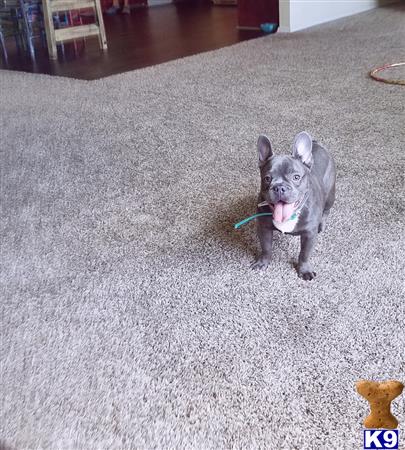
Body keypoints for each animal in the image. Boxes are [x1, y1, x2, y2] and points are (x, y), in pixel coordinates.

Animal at [252, 130, 334, 280]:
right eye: (267, 178)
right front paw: (263, 262)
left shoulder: (309, 234)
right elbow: (266, 247)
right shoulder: (264, 228)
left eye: (296, 177)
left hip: (331, 195)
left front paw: (304, 270)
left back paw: (322, 224)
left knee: (326, 210)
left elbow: (304, 254)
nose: (279, 187)